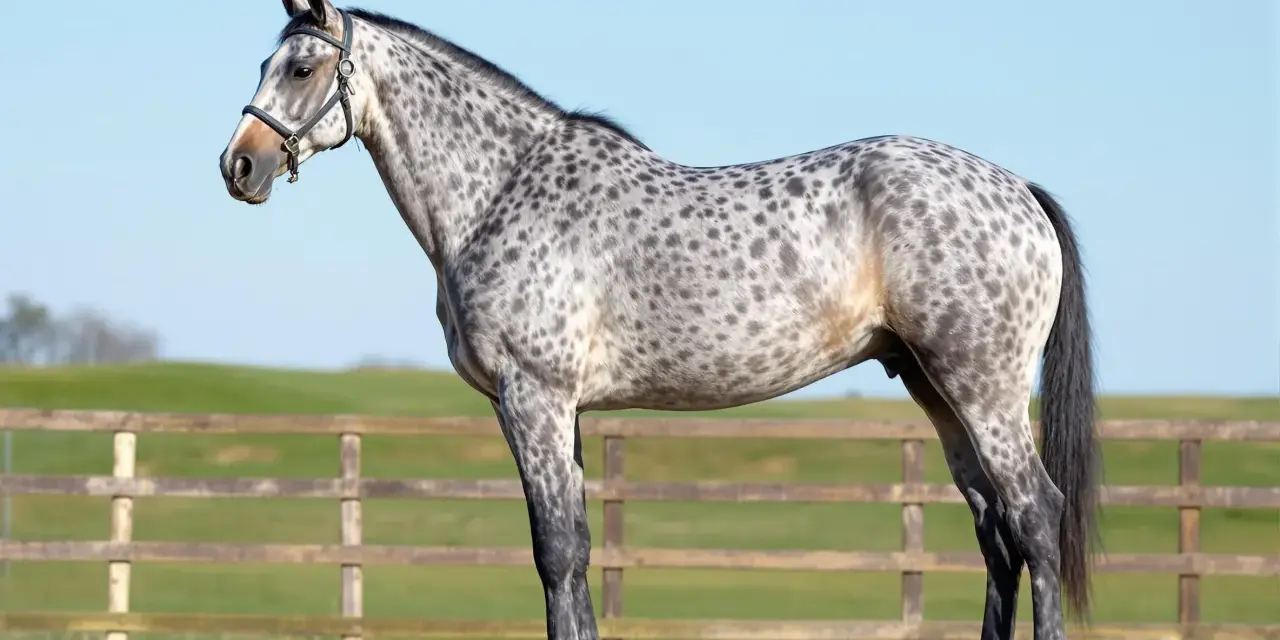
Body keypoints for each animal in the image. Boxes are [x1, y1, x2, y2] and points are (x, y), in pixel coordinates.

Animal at [218, 2, 1100, 638]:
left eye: (302, 66)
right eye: (265, 64)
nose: (239, 165)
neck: (502, 189)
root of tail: (1018, 189)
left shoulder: (534, 397)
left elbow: (555, 551)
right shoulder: (557, 409)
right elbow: (572, 556)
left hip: (980, 385)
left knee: (1035, 517)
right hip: (934, 388)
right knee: (996, 535)